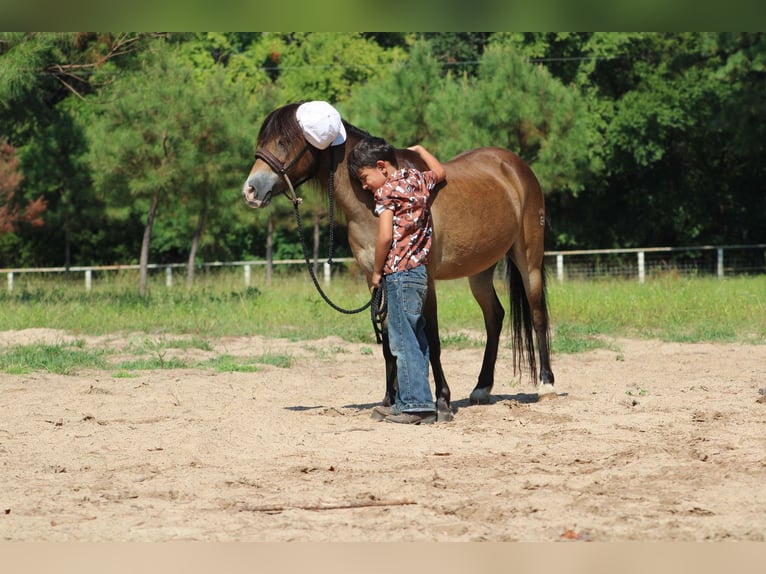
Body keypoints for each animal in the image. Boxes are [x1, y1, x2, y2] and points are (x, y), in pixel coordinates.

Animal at [242, 102, 555, 421]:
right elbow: (390, 343)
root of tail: (516, 167)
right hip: (480, 270)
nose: (250, 191)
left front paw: (442, 403)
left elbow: (432, 338)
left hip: (528, 259)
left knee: (538, 314)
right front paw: (389, 400)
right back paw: (481, 389)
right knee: (494, 317)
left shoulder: (424, 279)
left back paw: (546, 385)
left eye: (282, 141)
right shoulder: (376, 279)